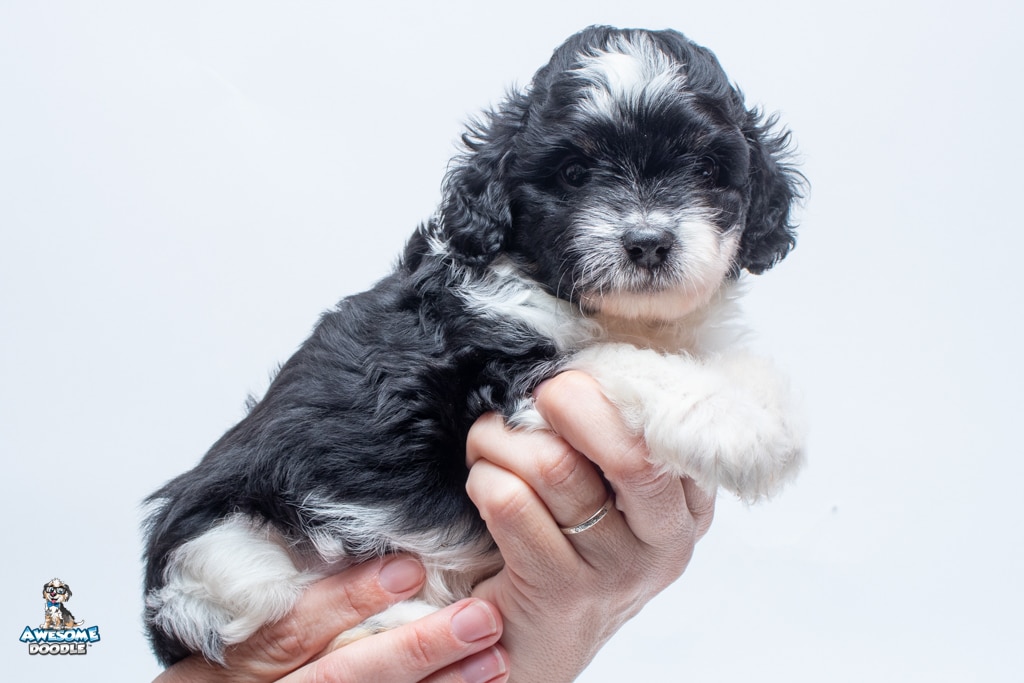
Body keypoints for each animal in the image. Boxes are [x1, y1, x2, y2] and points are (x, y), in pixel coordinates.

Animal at [143, 25, 806, 666]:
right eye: (574, 175)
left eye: (705, 170)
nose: (647, 241)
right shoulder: (491, 361)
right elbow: (611, 362)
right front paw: (738, 427)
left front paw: (768, 412)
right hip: (218, 547)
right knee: (251, 606)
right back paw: (392, 622)